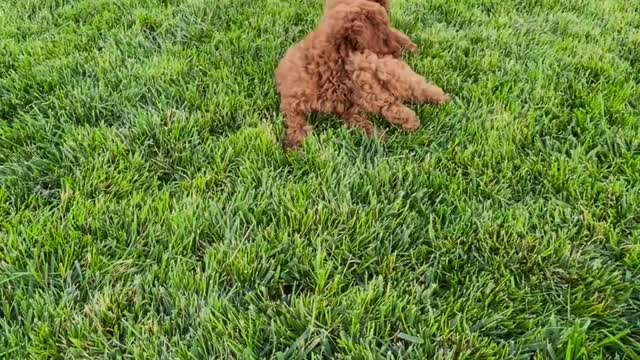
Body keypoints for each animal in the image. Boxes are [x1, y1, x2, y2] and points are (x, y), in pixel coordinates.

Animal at [276, 0, 450, 149]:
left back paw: (438, 98)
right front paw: (296, 141)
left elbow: (383, 100)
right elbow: (295, 120)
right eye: (383, 34)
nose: (398, 52)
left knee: (415, 87)